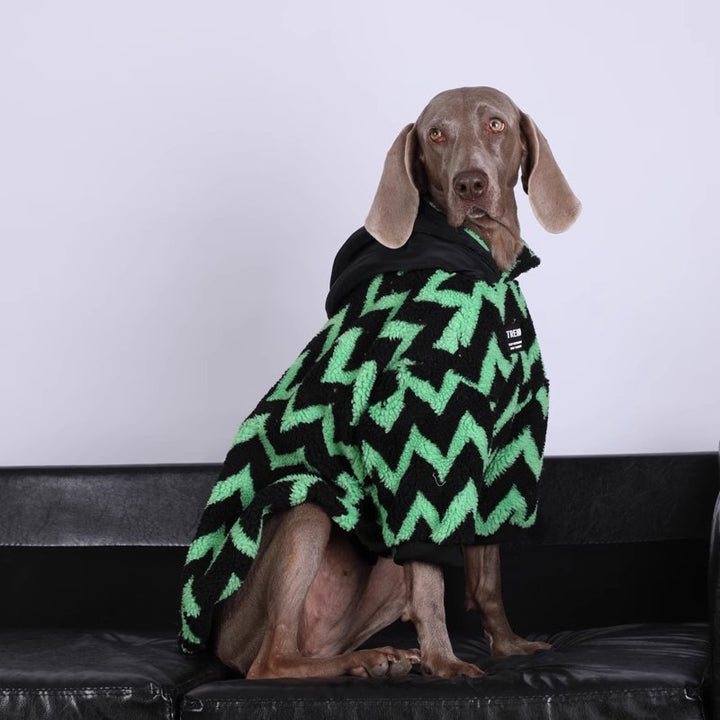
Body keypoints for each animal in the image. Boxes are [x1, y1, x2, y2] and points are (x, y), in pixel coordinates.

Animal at [179, 86, 581, 679]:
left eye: (496, 124)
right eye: (436, 134)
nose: (470, 184)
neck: (485, 266)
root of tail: (220, 646)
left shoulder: (509, 447)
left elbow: (486, 576)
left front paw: (508, 646)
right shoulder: (412, 441)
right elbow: (433, 579)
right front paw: (446, 664)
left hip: (375, 579)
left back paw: (372, 658)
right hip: (301, 508)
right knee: (272, 660)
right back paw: (369, 661)